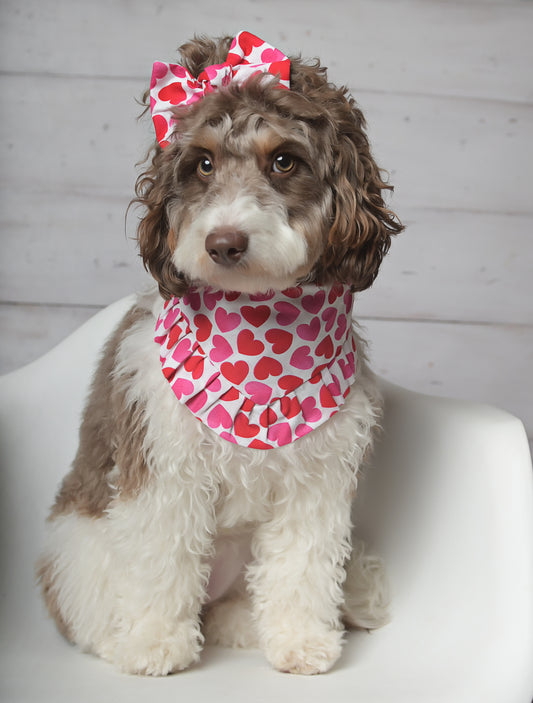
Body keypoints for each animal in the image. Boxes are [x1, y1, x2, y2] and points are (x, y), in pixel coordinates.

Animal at [36, 31, 404, 676]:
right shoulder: (164, 466)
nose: (224, 242)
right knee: (94, 607)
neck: (261, 340)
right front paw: (155, 643)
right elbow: (161, 557)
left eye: (284, 161)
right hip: (76, 548)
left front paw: (302, 641)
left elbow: (303, 563)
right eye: (202, 163)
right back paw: (122, 636)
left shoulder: (318, 478)